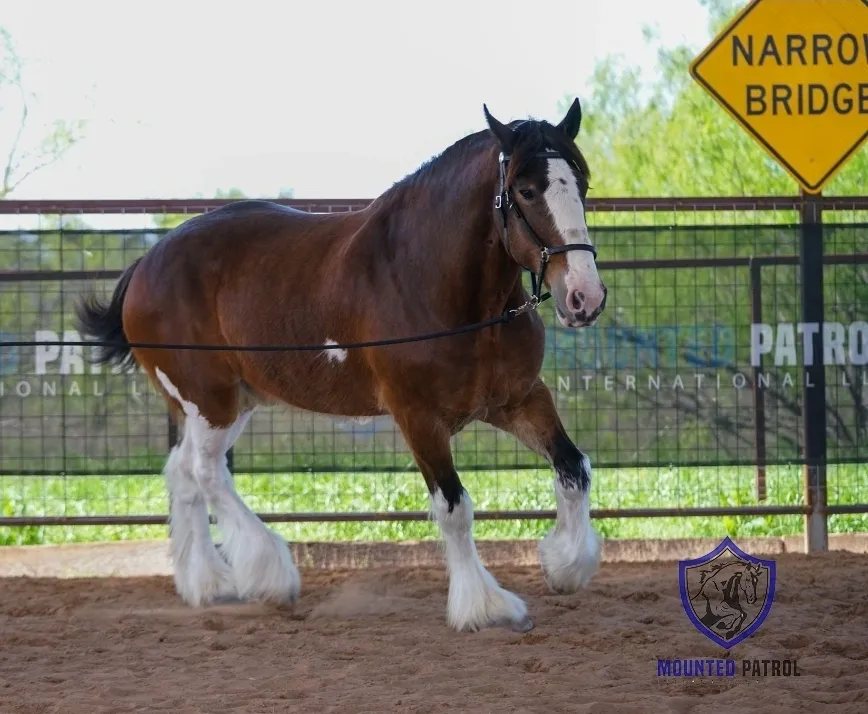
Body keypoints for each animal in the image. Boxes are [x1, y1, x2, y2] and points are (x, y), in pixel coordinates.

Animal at [75, 98, 607, 633]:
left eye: (581, 182)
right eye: (526, 190)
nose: (584, 297)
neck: (436, 284)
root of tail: (146, 263)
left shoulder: (518, 400)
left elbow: (574, 467)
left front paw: (565, 565)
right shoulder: (418, 418)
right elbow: (454, 506)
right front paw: (484, 607)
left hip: (231, 402)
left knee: (183, 472)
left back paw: (207, 585)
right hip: (210, 400)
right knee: (206, 473)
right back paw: (270, 573)